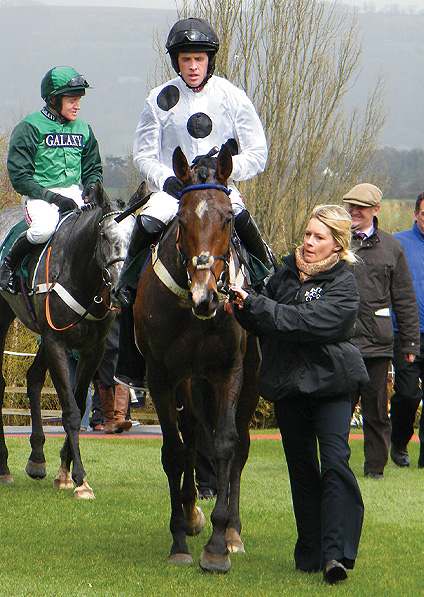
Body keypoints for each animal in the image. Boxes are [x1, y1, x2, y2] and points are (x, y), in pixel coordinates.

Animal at [0, 183, 134, 498]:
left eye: (136, 235)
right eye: (105, 235)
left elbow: (79, 403)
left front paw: (64, 472)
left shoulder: (91, 349)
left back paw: (37, 458)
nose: (122, 291)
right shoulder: (57, 343)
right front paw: (81, 479)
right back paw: (4, 466)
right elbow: (71, 411)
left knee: (33, 377)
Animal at [131, 146, 260, 572]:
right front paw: (179, 539)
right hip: (190, 382)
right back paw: (190, 515)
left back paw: (233, 531)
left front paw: (219, 544)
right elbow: (175, 449)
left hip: (247, 379)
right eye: (183, 221)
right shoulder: (161, 375)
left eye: (228, 219)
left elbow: (225, 443)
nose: (207, 296)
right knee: (189, 434)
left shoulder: (228, 370)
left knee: (241, 443)